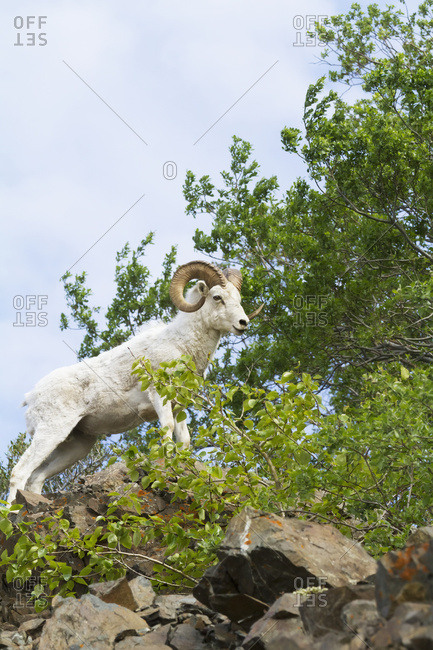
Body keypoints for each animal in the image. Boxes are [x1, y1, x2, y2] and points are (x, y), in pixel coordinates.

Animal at [8, 261, 263, 503]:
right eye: (217, 297)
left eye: (238, 299)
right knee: (19, 473)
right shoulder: (159, 396)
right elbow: (167, 429)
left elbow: (184, 440)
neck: (180, 345)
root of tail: (30, 397)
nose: (243, 323)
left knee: (36, 477)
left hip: (75, 446)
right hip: (50, 432)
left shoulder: (179, 406)